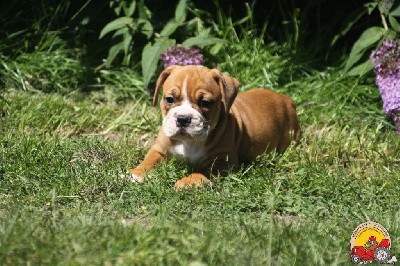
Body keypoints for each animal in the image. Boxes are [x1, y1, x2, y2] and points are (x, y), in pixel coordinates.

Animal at [130, 64, 302, 189]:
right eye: (169, 99)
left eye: (205, 103)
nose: (183, 119)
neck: (189, 142)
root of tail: (286, 99)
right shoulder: (159, 149)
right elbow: (149, 160)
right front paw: (137, 173)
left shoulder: (223, 161)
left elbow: (204, 170)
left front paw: (188, 181)